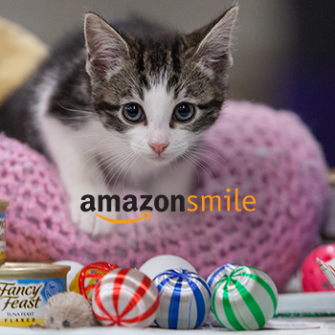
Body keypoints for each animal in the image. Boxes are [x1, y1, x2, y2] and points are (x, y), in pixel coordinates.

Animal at [0, 5, 239, 236]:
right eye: (132, 111)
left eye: (184, 111)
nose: (158, 145)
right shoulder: (55, 103)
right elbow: (79, 160)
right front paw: (94, 208)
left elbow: (177, 168)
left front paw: (169, 208)